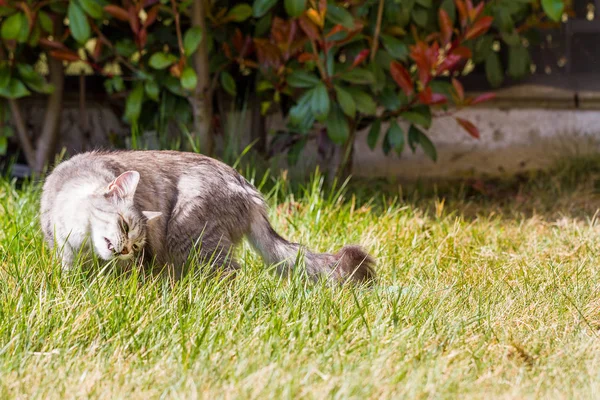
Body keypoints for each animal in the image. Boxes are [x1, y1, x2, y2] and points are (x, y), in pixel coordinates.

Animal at [39, 149, 376, 282]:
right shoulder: (61, 245)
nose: (124, 250)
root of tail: (250, 190)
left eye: (136, 243)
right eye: (123, 225)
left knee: (230, 272)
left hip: (188, 232)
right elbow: (69, 272)